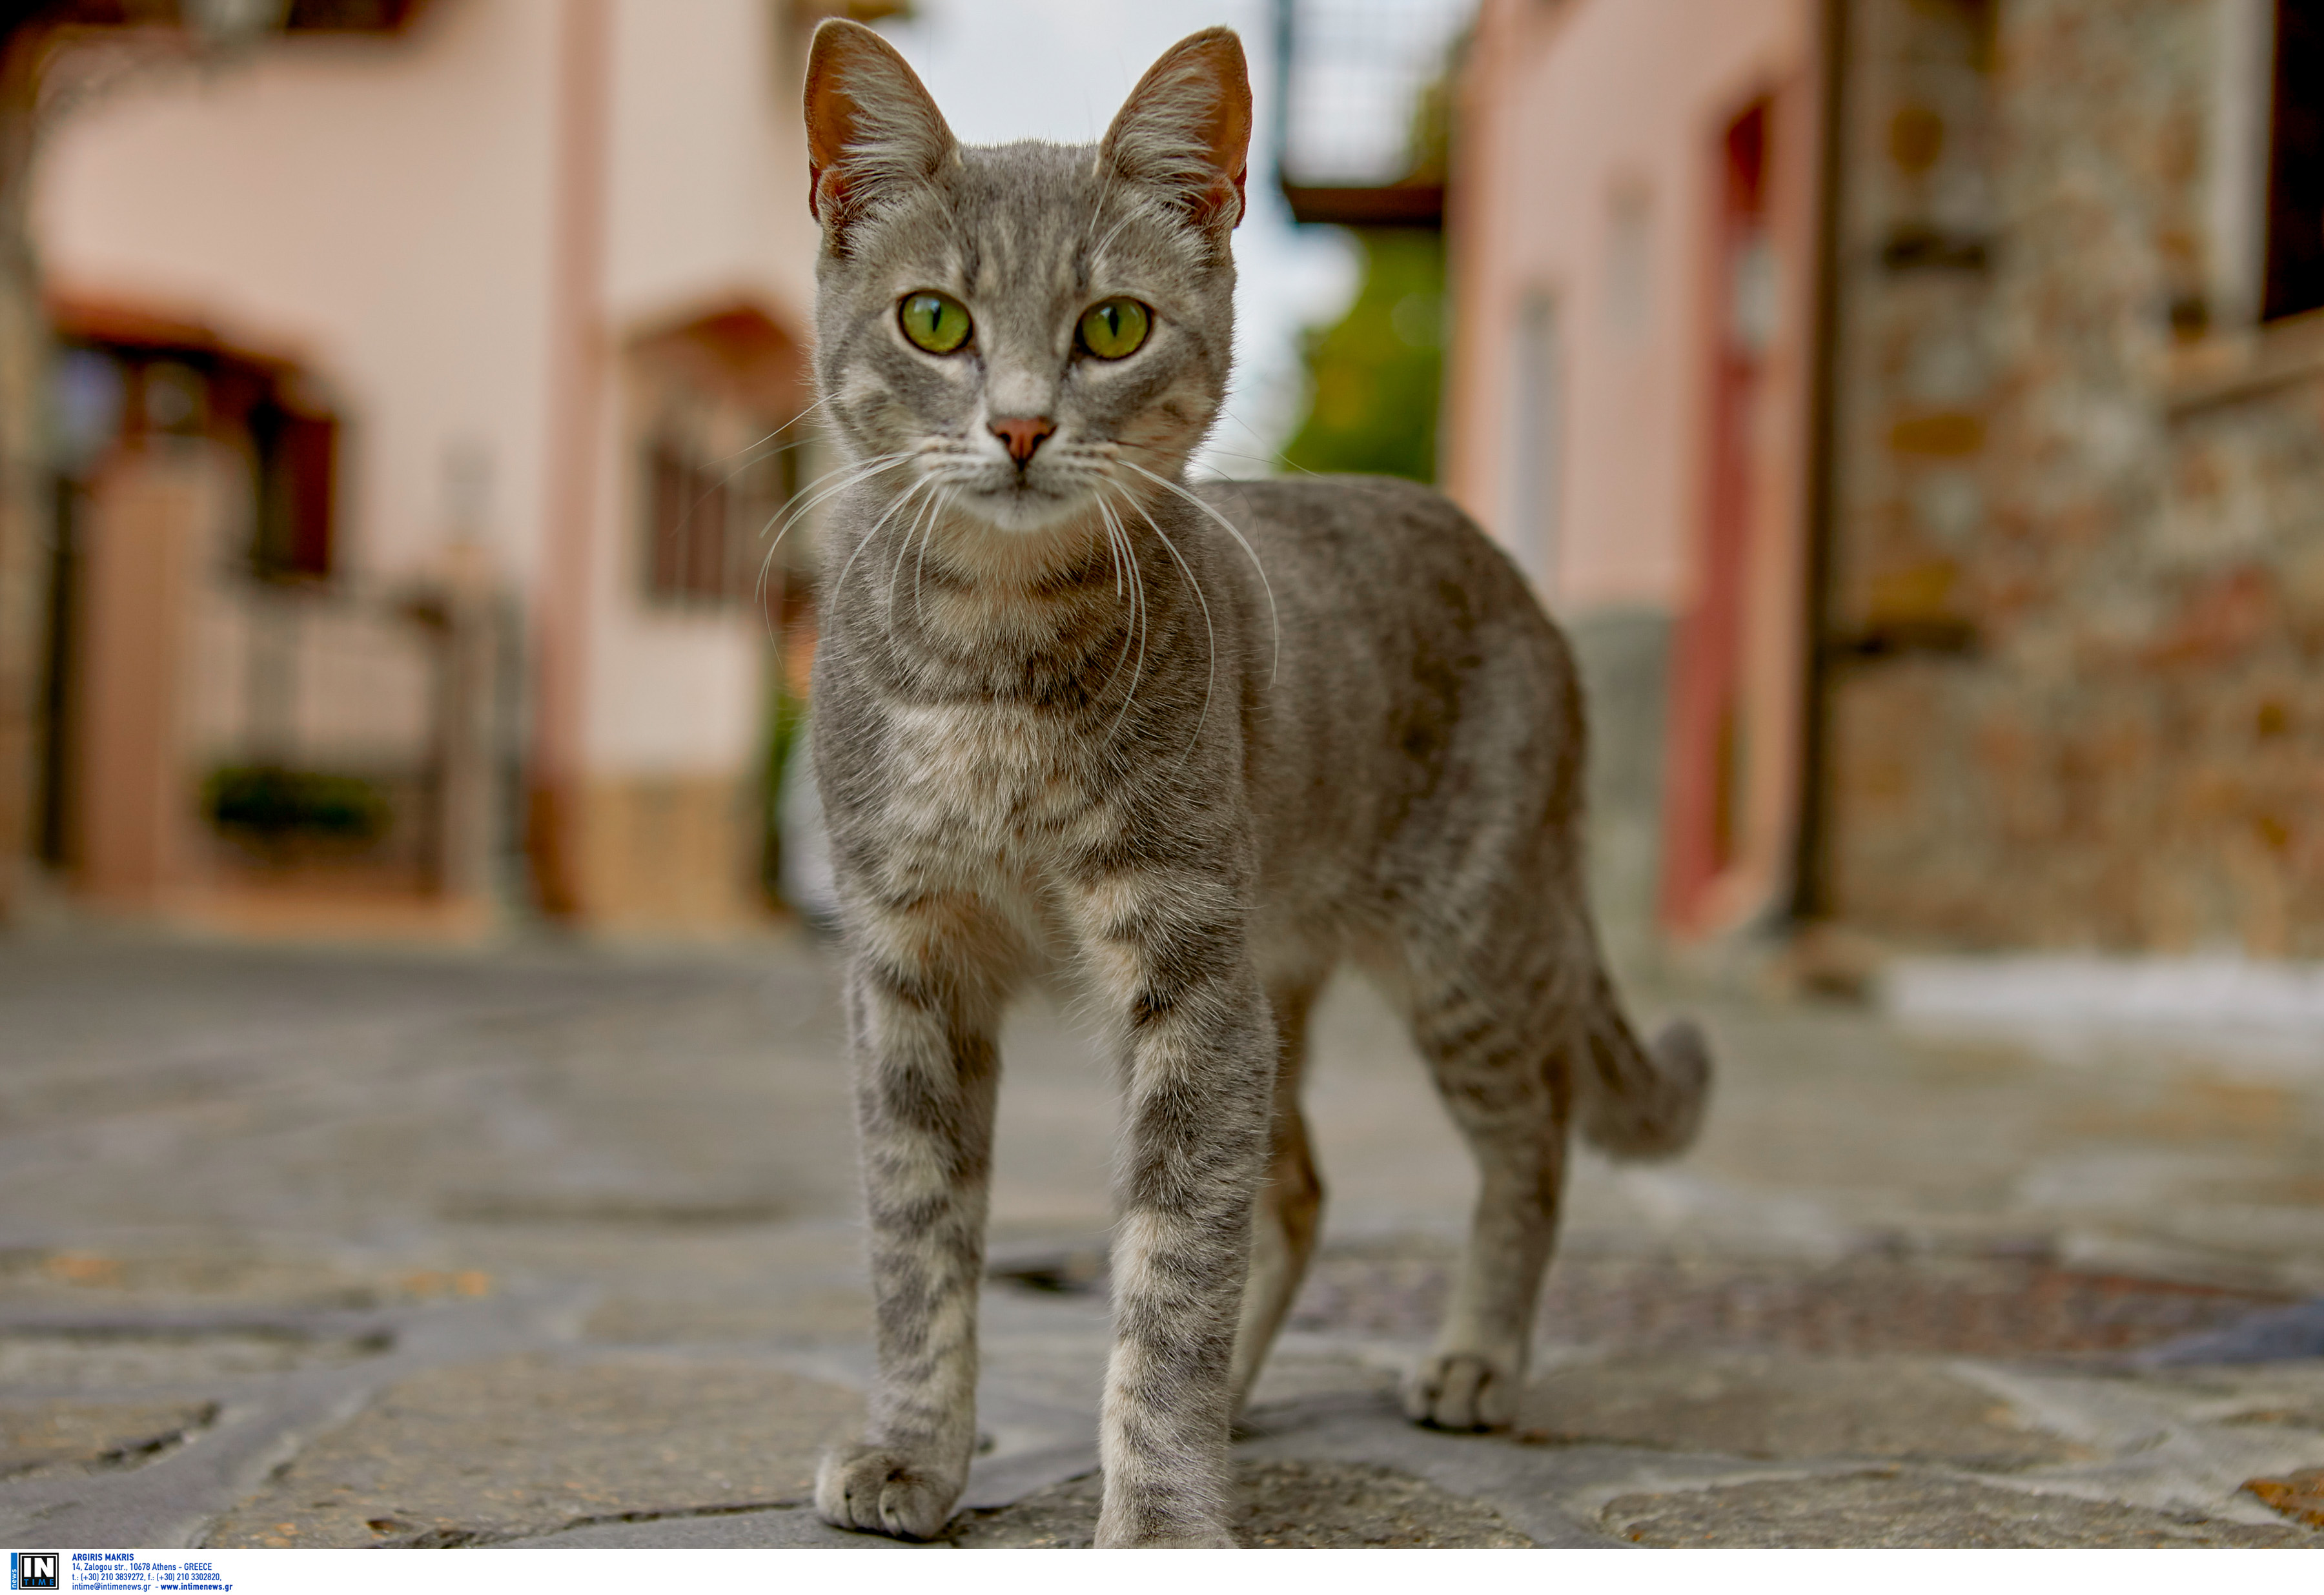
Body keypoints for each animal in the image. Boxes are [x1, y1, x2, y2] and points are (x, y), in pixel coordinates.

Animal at [799, 19, 1710, 1553]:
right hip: (1277, 978)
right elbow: (918, 1241)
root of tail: (1511, 574)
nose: (1023, 428)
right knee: (1295, 1187)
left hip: (1462, 948)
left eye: (1113, 326)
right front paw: (917, 1451)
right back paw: (1244, 1391)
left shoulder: (1185, 969)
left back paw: (1475, 1356)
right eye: (934, 321)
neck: (991, 672)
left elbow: (1172, 1261)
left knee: (1528, 1143)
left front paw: (1163, 1512)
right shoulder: (905, 968)